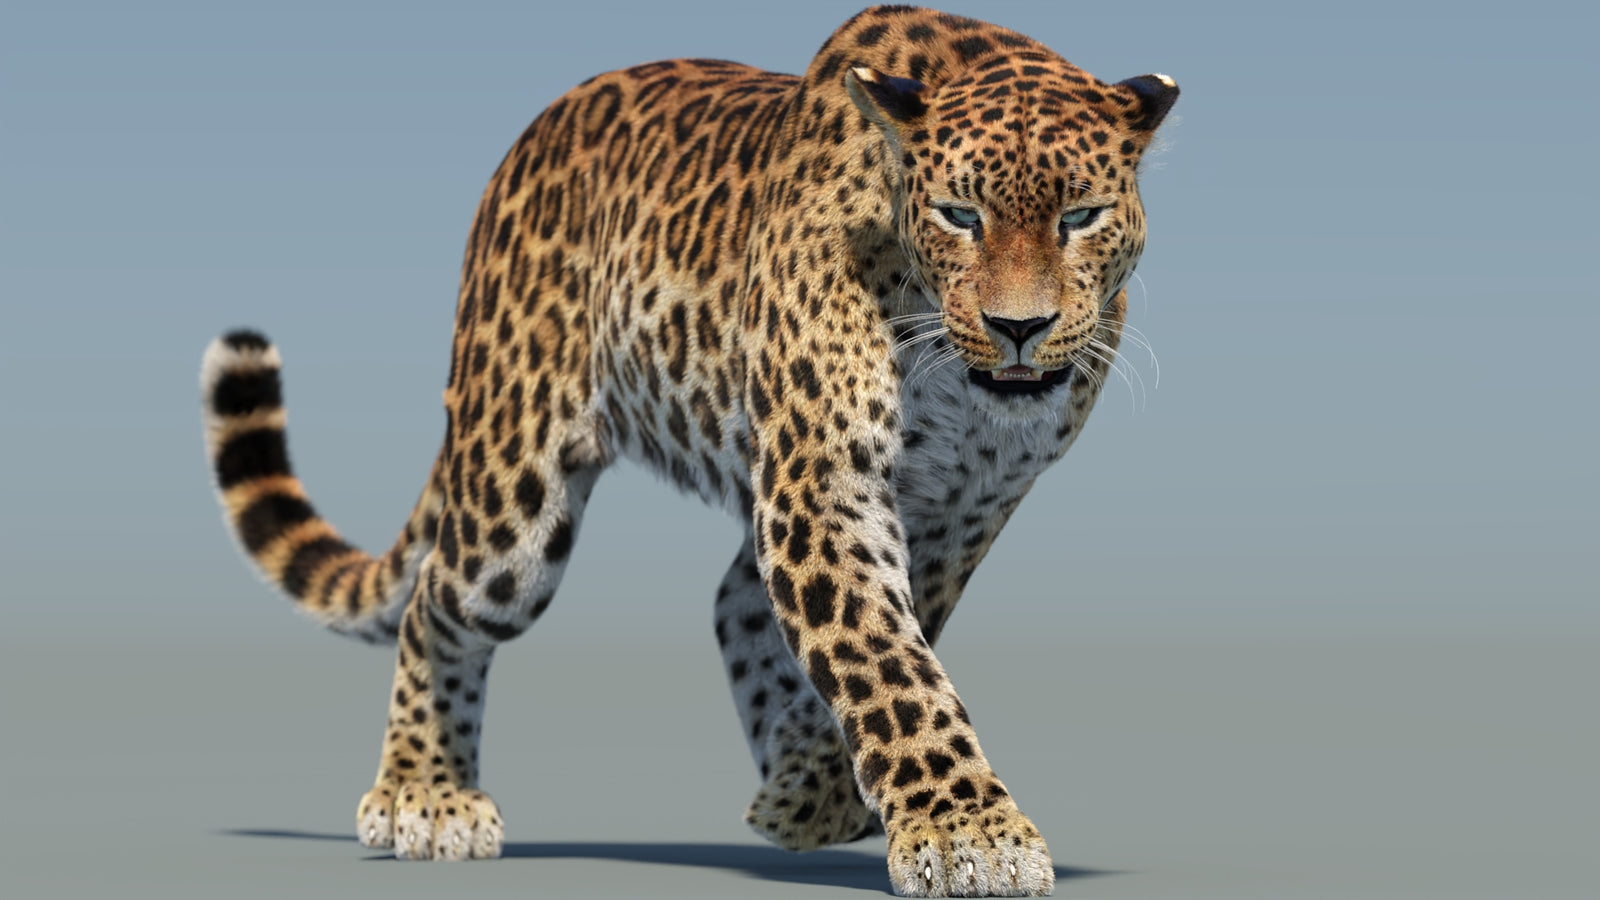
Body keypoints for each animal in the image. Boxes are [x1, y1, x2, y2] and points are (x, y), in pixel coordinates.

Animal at [198, 6, 1177, 896]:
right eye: (958, 214)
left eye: (1082, 216)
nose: (1020, 328)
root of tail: (526, 140)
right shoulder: (824, 486)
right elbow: (883, 659)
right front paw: (966, 831)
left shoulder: (956, 511)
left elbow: (891, 640)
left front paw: (831, 792)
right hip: (514, 501)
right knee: (438, 599)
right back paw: (424, 793)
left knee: (735, 601)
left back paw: (794, 783)